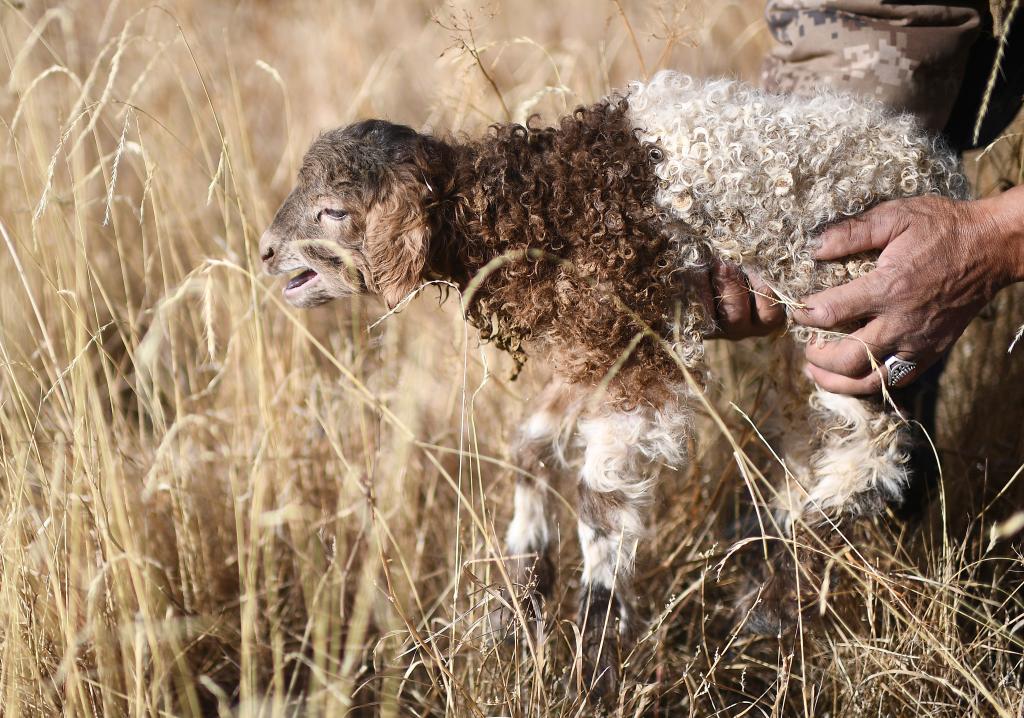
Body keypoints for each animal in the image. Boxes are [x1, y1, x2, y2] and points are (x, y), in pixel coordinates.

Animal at [256, 71, 966, 696]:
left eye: (333, 210)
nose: (265, 252)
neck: (535, 204)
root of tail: (939, 170)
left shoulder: (640, 357)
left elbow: (600, 501)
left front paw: (594, 659)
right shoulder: (594, 350)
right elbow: (530, 446)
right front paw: (522, 599)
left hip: (853, 317)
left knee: (874, 455)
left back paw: (778, 565)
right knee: (823, 444)